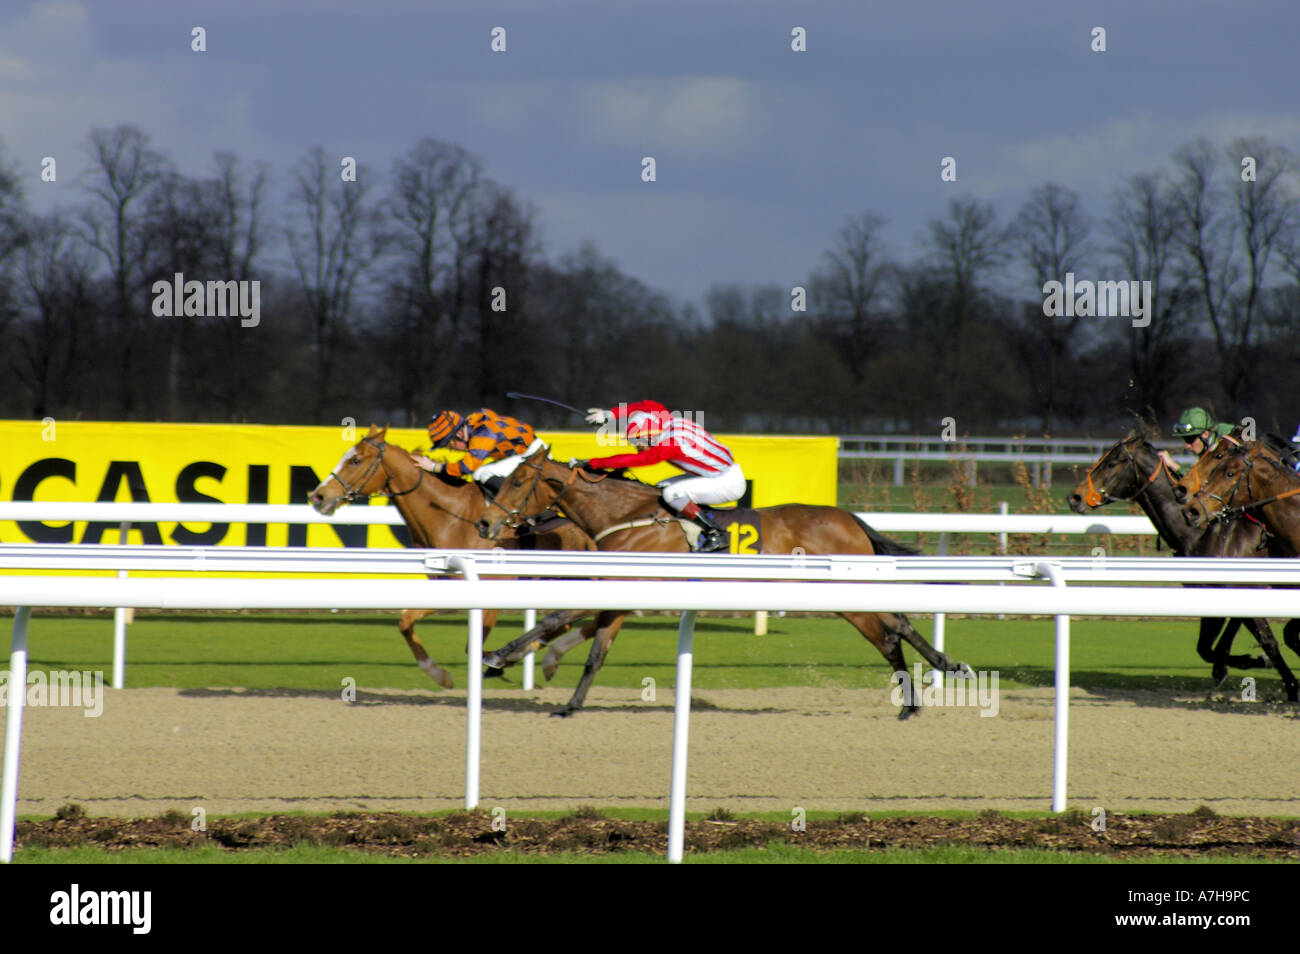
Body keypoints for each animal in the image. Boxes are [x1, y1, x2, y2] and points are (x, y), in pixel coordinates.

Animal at [310, 426, 608, 686]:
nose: (318, 496)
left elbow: (473, 649)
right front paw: (440, 675)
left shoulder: (489, 593)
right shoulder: (447, 586)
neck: (450, 516)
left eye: (356, 460)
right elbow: (405, 621)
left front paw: (494, 662)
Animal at [475, 447, 967, 717]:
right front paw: (568, 703)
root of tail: (848, 517)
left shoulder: (619, 581)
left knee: (894, 627)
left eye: (517, 481)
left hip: (846, 590)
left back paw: (940, 671)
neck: (627, 515)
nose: (484, 523)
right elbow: (596, 652)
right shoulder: (621, 591)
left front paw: (497, 656)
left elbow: (554, 617)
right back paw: (914, 698)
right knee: (891, 630)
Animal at [1066, 434, 1289, 696]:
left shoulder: (1244, 590)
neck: (1202, 532)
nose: (1075, 497)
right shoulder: (1210, 594)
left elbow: (1260, 640)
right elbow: (1206, 648)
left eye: (1112, 463)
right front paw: (1239, 665)